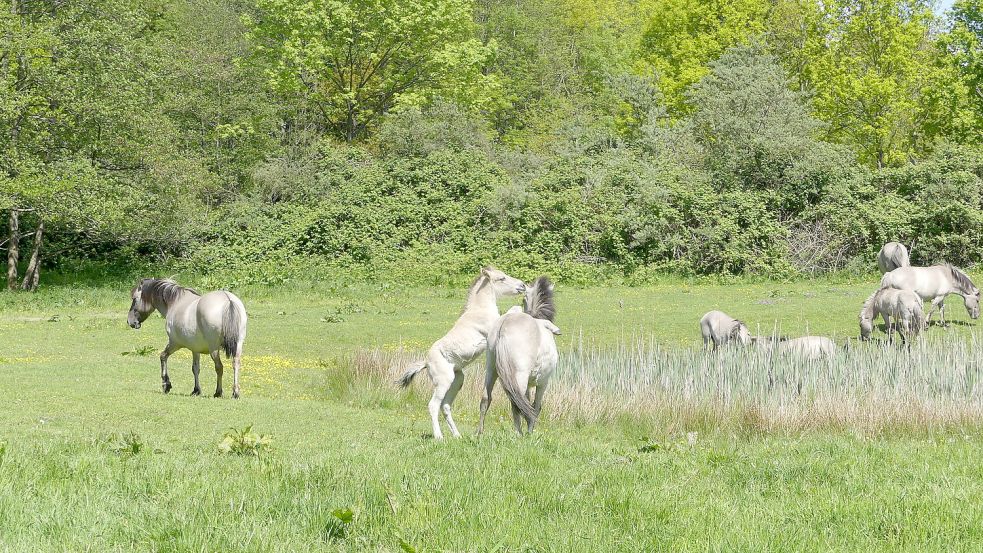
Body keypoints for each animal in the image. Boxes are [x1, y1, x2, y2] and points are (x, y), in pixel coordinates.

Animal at [396, 268, 528, 440]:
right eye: (502, 278)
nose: (522, 285)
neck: (479, 309)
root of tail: (426, 362)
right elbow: (511, 311)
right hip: (443, 382)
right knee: (433, 405)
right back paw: (439, 436)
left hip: (457, 380)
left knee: (445, 406)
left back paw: (457, 435)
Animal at [478, 276, 560, 436]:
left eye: (523, 299)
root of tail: (503, 326)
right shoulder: (543, 383)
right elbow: (535, 406)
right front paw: (530, 431)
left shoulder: (529, 384)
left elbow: (528, 402)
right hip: (519, 376)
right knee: (516, 403)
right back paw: (519, 434)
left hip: (491, 370)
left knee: (486, 398)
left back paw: (480, 433)